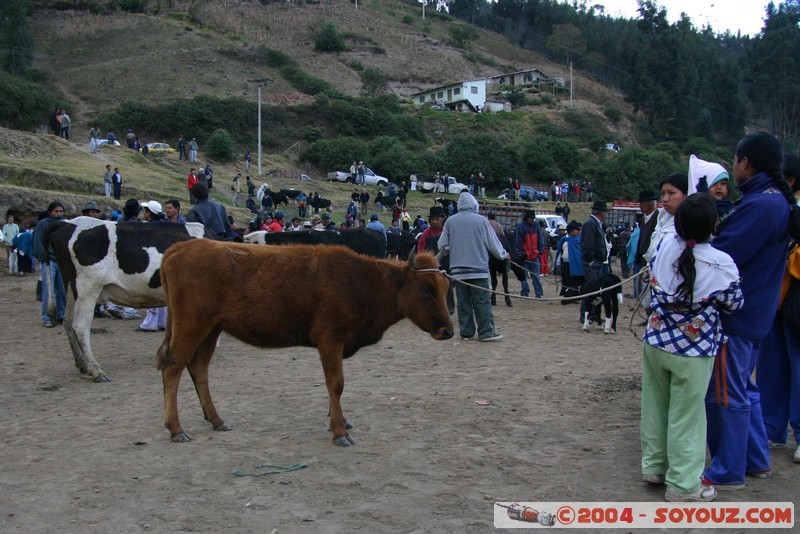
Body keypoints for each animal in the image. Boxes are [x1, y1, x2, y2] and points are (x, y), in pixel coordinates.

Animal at [44, 220, 208, 384]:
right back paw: (96, 371)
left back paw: (82, 365)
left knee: (67, 322)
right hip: (88, 288)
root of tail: (67, 223)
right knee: (80, 326)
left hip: (71, 287)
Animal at [156, 243, 454, 448]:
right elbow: (336, 384)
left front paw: (339, 420)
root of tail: (181, 247)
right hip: (192, 326)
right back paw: (176, 429)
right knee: (173, 368)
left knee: (199, 369)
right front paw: (339, 432)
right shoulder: (330, 339)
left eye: (445, 288)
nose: (448, 331)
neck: (360, 281)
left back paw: (217, 420)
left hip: (211, 330)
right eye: (425, 289)